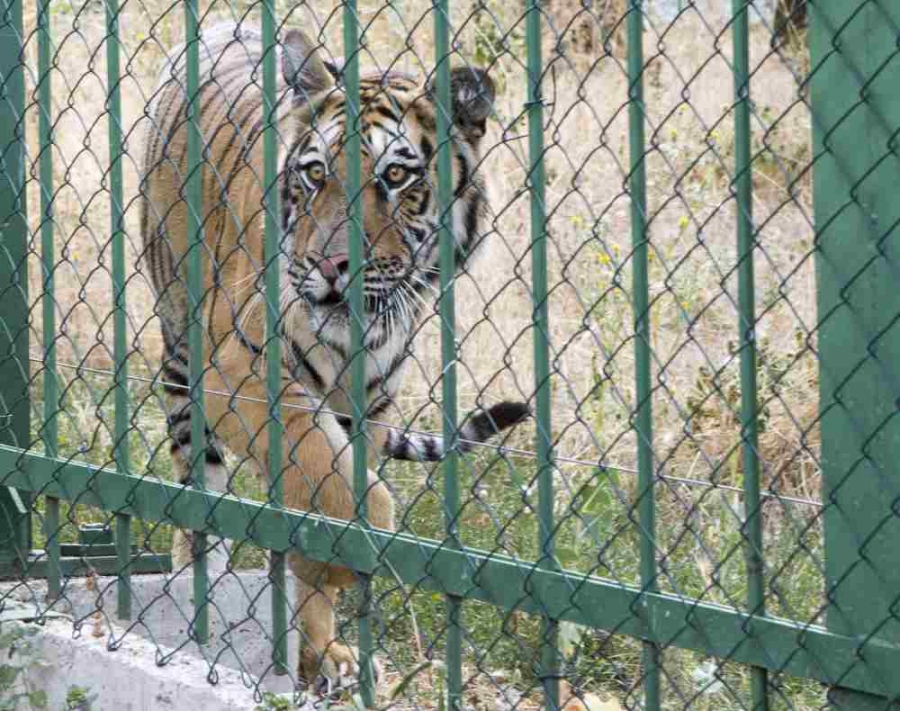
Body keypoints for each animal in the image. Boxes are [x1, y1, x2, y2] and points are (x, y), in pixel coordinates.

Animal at [137, 22, 524, 688]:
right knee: (199, 491)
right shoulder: (235, 366)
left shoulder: (366, 407)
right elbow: (330, 473)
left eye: (396, 177)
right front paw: (340, 565)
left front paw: (323, 643)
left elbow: (329, 489)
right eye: (316, 173)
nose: (329, 265)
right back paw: (198, 584)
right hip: (183, 352)